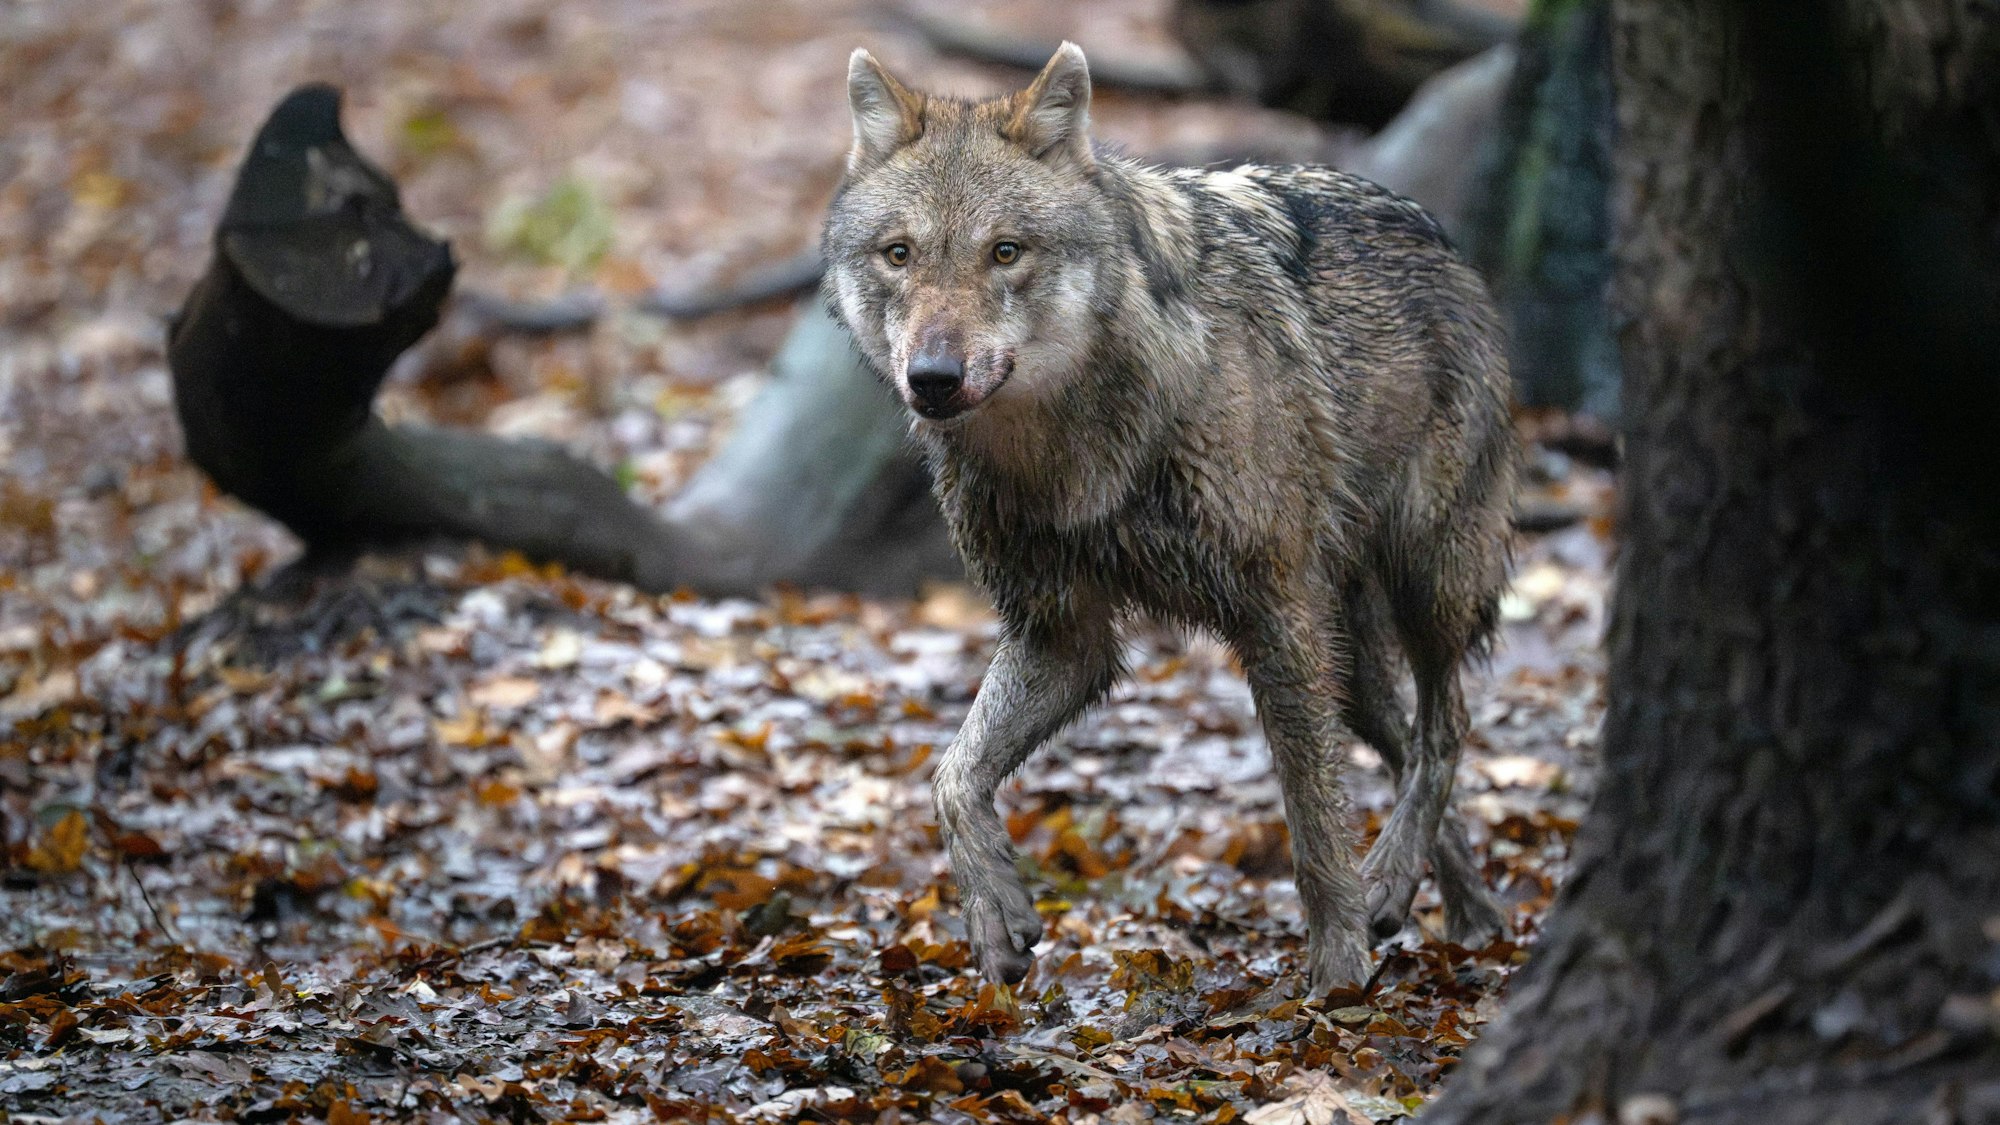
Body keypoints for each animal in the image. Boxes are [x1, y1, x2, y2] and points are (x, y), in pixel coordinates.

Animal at [821, 42, 1518, 992]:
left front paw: (1337, 973)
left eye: (1004, 252)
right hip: (1350, 658)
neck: (1071, 452)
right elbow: (951, 775)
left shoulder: (1274, 614)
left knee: (1447, 727)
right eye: (899, 254)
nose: (932, 378)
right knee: (1408, 741)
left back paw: (1396, 886)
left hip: (1426, 580)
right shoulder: (1061, 635)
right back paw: (1457, 908)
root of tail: (1442, 238)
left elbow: (1311, 823)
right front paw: (995, 913)